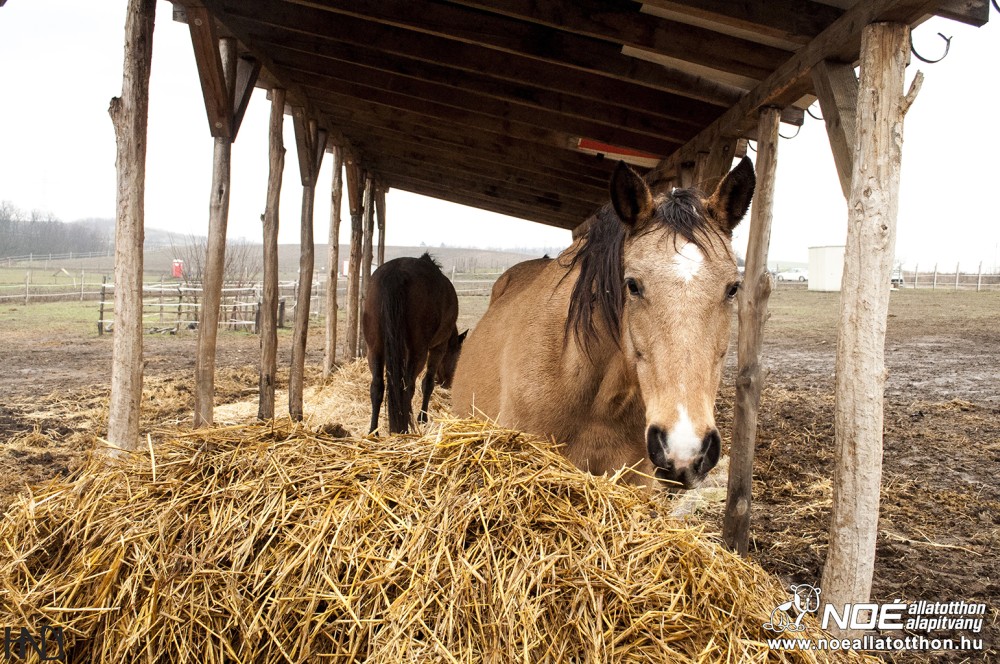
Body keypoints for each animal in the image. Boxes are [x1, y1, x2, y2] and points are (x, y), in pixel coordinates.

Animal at [362, 252, 466, 434]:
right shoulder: (439, 347)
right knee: (408, 388)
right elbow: (427, 383)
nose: (447, 383)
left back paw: (373, 431)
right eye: (457, 357)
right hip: (418, 352)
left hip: (374, 349)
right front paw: (422, 418)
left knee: (377, 387)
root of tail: (396, 272)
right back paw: (405, 427)